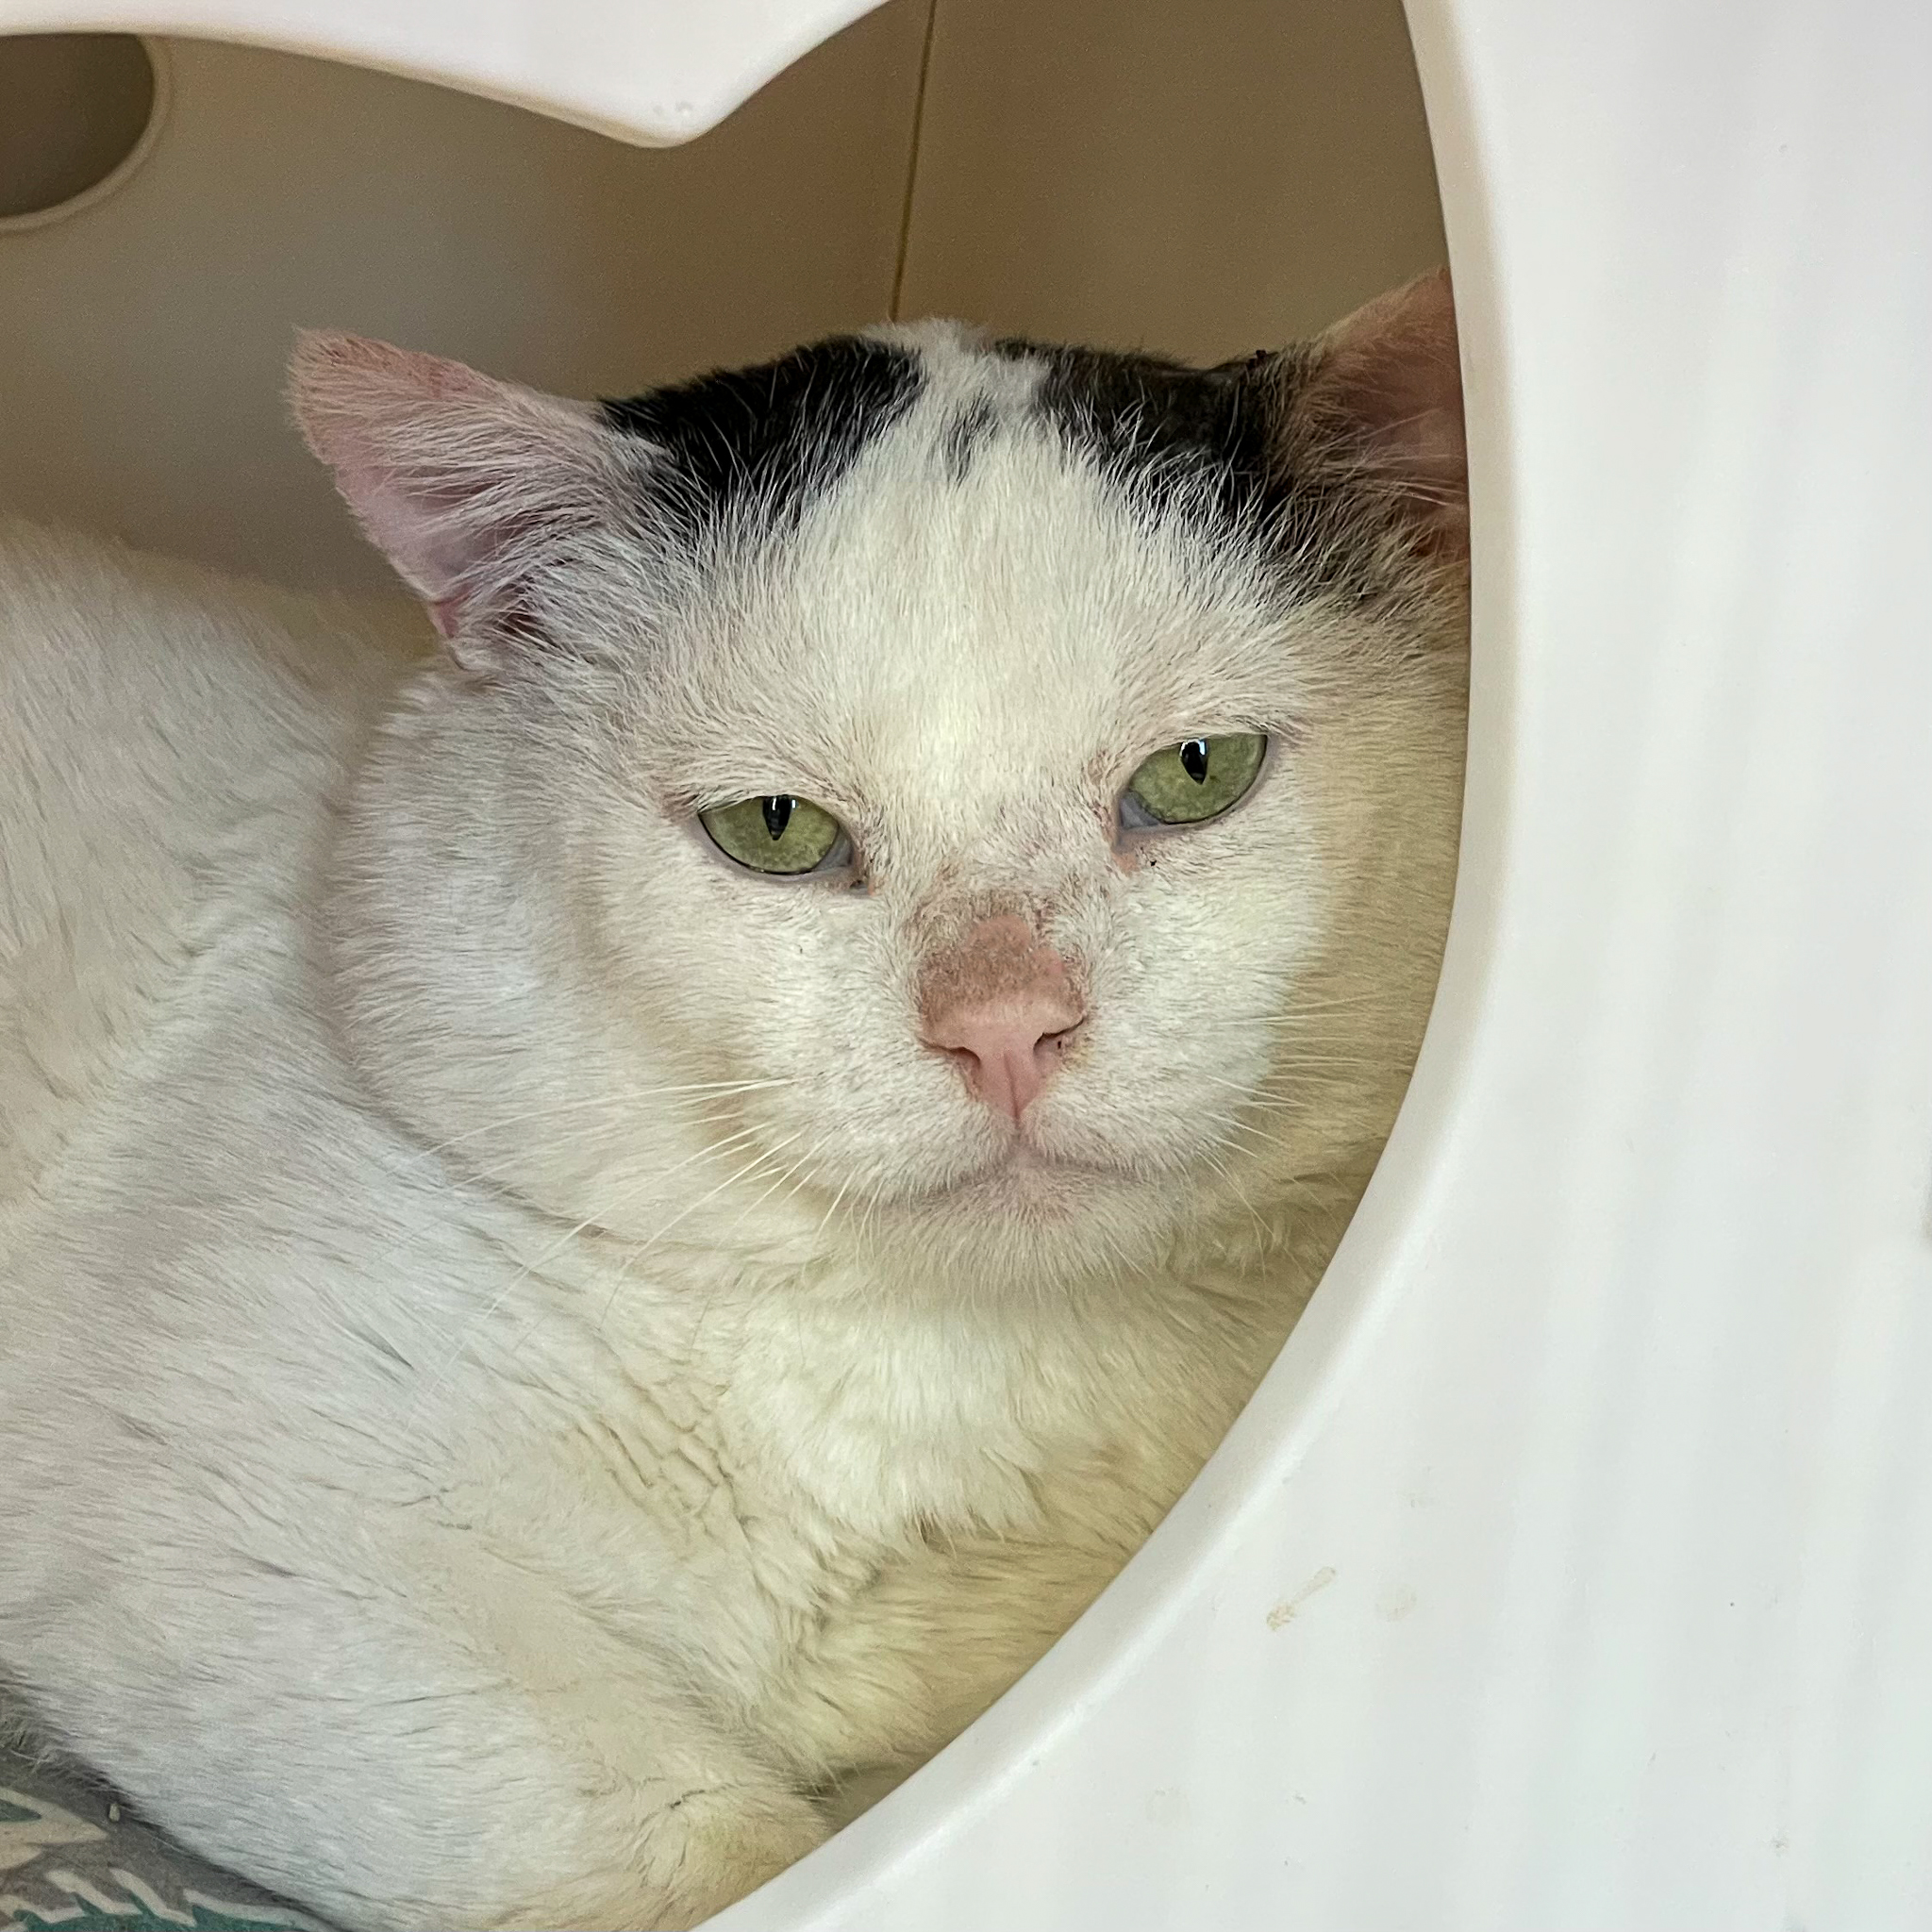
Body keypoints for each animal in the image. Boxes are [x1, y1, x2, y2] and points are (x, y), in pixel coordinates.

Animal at [0, 275, 1460, 1932]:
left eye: (1200, 772)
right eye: (775, 828)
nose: (1004, 1026)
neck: (942, 1382)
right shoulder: (236, 1530)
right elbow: (695, 1849)